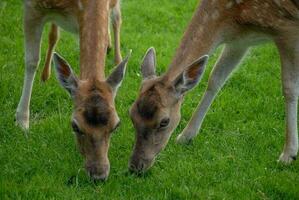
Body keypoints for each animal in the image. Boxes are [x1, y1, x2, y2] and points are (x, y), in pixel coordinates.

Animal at [15, 0, 129, 181]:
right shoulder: (32, 8)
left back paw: (115, 54)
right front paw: (22, 123)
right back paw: (45, 75)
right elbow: (32, 61)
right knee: (53, 34)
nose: (99, 175)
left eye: (116, 125)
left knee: (117, 19)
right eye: (75, 126)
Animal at [129, 0, 299, 173]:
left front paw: (288, 154)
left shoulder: (288, 29)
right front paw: (186, 136)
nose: (135, 166)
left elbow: (289, 88)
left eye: (164, 121)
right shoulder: (240, 40)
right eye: (131, 114)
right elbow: (215, 78)